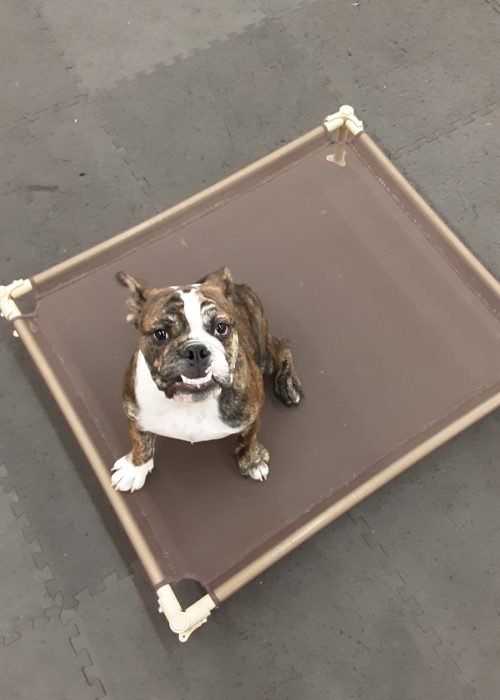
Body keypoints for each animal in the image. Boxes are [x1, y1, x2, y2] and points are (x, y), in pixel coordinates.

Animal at [111, 268, 302, 492]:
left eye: (221, 327)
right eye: (160, 334)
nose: (195, 350)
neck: (189, 403)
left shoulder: (252, 416)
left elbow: (247, 438)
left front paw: (252, 461)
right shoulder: (135, 416)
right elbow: (140, 441)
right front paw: (135, 468)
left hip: (264, 356)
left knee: (283, 346)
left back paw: (288, 386)